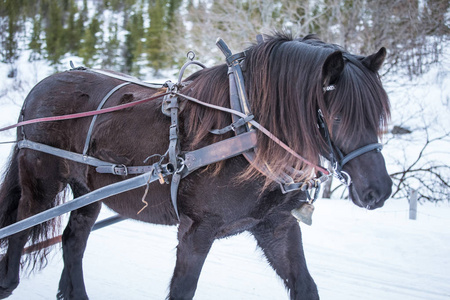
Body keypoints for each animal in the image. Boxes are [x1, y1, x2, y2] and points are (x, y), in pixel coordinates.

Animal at [0, 32, 390, 298]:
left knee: (73, 241)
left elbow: (305, 286)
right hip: (40, 182)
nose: (379, 191)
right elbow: (182, 289)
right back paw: (8, 282)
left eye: (377, 115)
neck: (244, 132)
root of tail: (40, 86)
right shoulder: (196, 230)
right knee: (20, 227)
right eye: (336, 116)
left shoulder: (276, 225)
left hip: (88, 192)